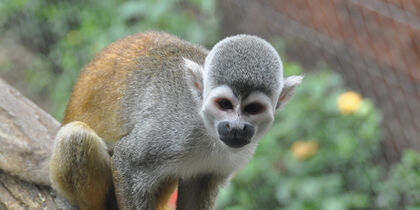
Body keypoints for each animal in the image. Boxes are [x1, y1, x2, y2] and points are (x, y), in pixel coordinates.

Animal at [49, 31, 302, 210]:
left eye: (253, 109)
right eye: (224, 105)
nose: (236, 128)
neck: (207, 130)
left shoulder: (237, 155)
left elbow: (200, 183)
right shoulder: (172, 131)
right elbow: (127, 161)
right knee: (76, 136)